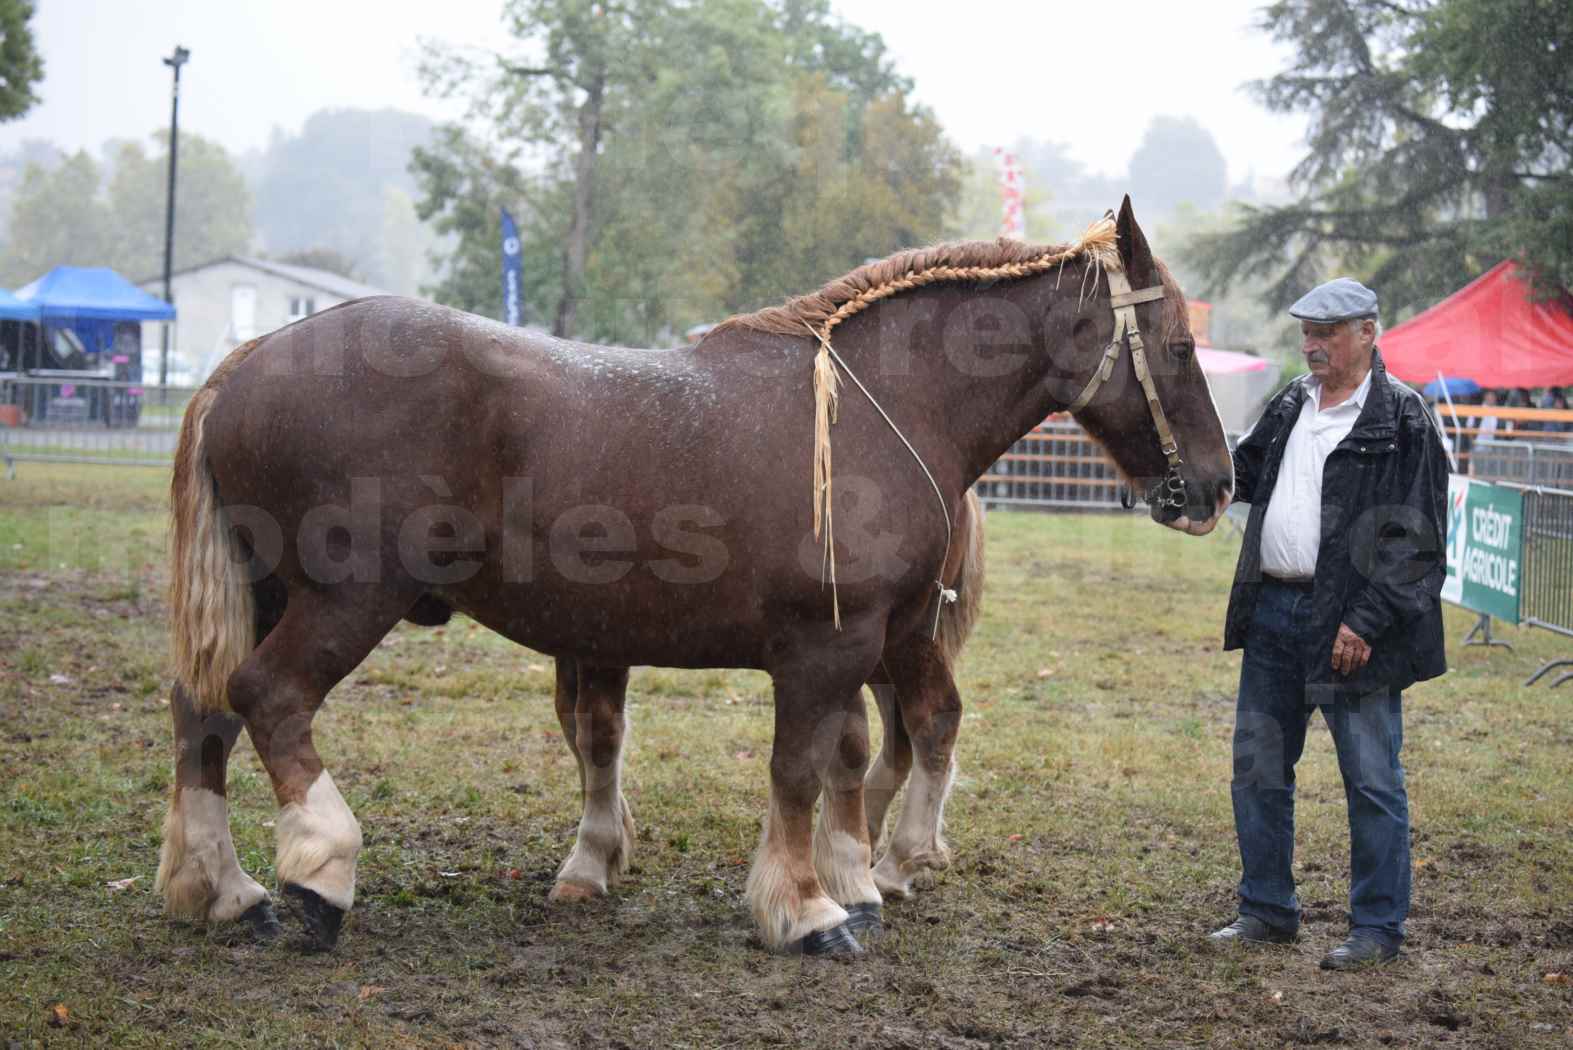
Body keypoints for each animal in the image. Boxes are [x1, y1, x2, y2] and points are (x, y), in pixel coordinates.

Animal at [159, 198, 1233, 961]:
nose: (1218, 484)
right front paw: (808, 910)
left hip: (264, 591)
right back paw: (319, 873)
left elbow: (845, 760)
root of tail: (244, 360)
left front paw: (854, 881)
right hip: (345, 599)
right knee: (269, 696)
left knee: (203, 710)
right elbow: (801, 769)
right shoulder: (825, 646)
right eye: (1179, 345)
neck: (876, 408)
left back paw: (227, 893)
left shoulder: (873, 637)